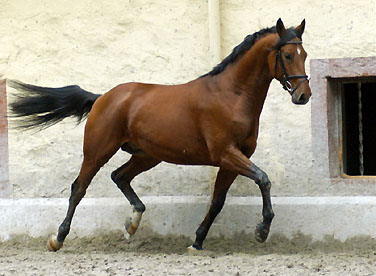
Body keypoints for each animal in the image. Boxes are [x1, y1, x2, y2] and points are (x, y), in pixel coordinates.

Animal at [8, 18, 310, 252]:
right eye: (287, 55)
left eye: (304, 54)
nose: (303, 96)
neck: (231, 95)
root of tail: (103, 97)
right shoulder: (226, 153)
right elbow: (263, 179)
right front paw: (262, 229)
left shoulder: (233, 159)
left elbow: (218, 201)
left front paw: (197, 242)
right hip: (97, 152)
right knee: (78, 189)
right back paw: (58, 239)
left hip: (148, 156)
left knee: (119, 176)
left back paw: (132, 225)